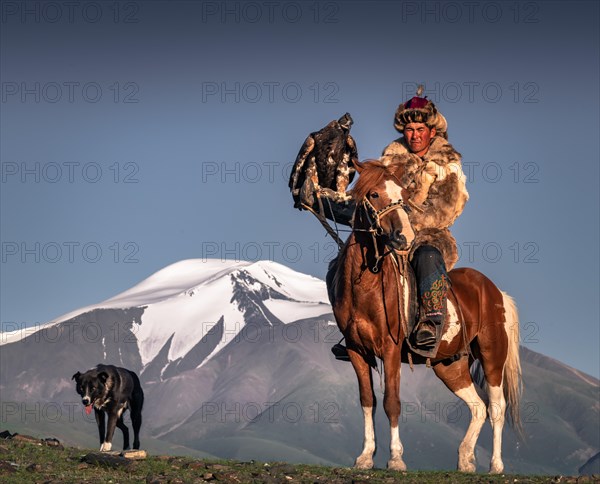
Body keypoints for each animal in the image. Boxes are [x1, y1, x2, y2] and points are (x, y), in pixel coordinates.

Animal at [326, 158, 524, 472]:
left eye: (404, 196)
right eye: (373, 194)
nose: (403, 236)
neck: (365, 286)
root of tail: (496, 293)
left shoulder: (390, 349)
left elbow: (391, 401)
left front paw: (395, 458)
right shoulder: (357, 350)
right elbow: (367, 400)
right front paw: (366, 456)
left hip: (493, 355)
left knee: (496, 407)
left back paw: (496, 465)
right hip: (450, 365)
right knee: (477, 408)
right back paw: (465, 460)